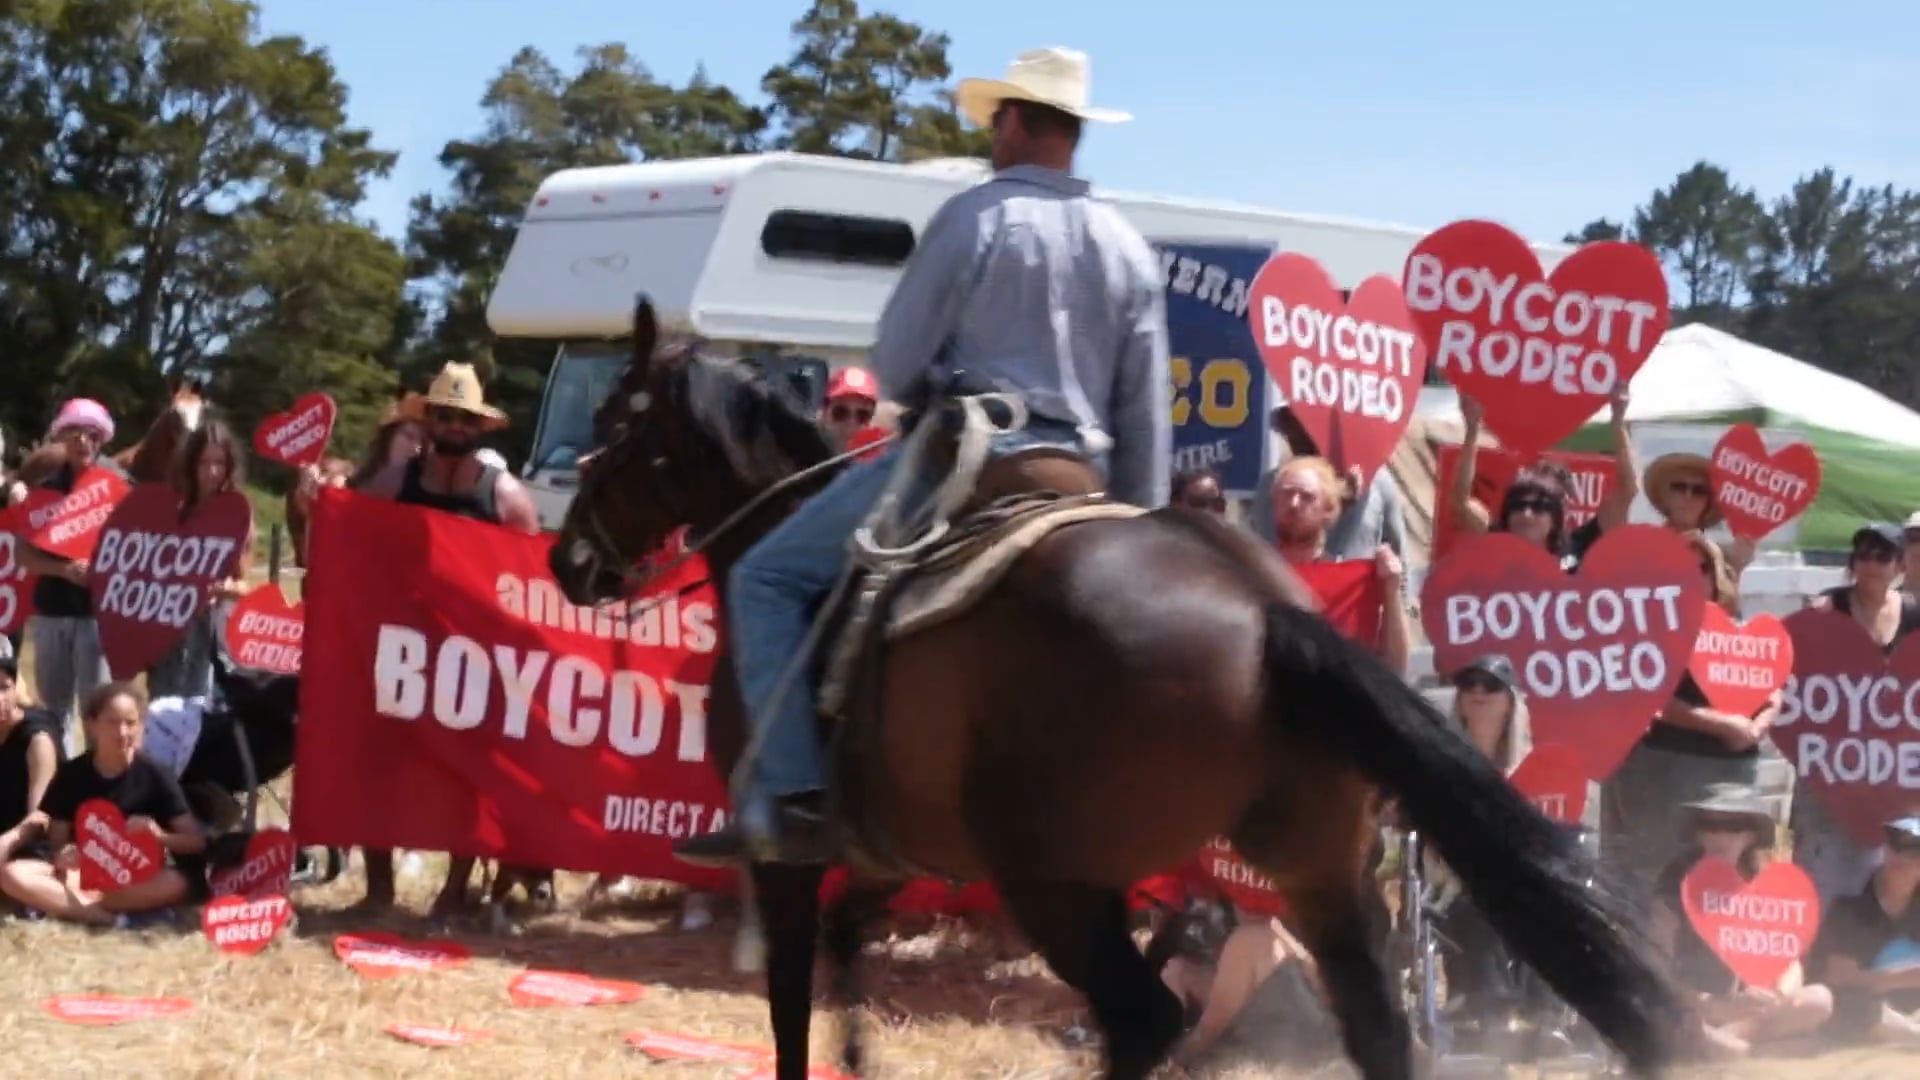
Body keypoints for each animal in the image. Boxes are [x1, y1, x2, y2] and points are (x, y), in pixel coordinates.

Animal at [545, 295, 1681, 1076]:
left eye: (616, 424)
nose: (568, 559)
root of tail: (1261, 613)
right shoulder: (886, 850)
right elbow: (845, 954)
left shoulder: (787, 853)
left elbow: (787, 1000)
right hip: (1318, 867)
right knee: (1373, 1028)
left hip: (1060, 885)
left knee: (1146, 1019)